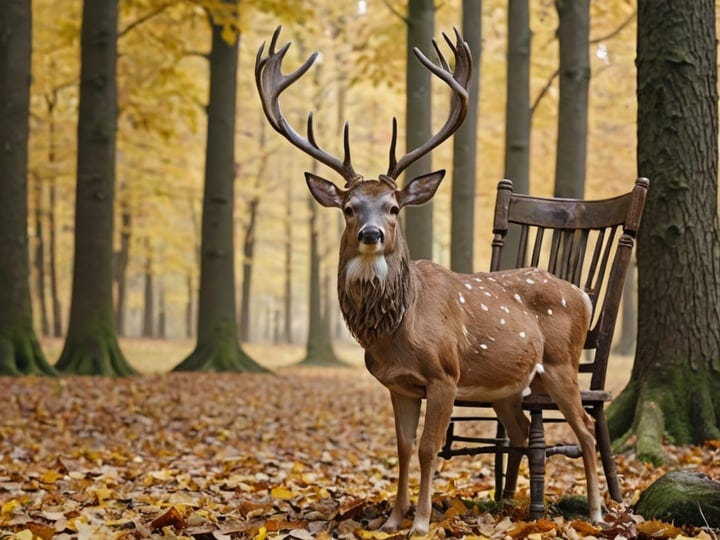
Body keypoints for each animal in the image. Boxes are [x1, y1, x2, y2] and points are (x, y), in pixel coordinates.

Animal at [253, 26, 600, 536]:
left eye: (394, 207)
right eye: (349, 207)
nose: (371, 233)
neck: (398, 329)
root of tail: (582, 294)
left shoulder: (444, 375)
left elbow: (427, 448)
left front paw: (419, 521)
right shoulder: (397, 384)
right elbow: (399, 448)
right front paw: (391, 518)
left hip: (561, 363)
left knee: (586, 431)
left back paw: (596, 510)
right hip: (509, 387)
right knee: (519, 434)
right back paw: (509, 508)